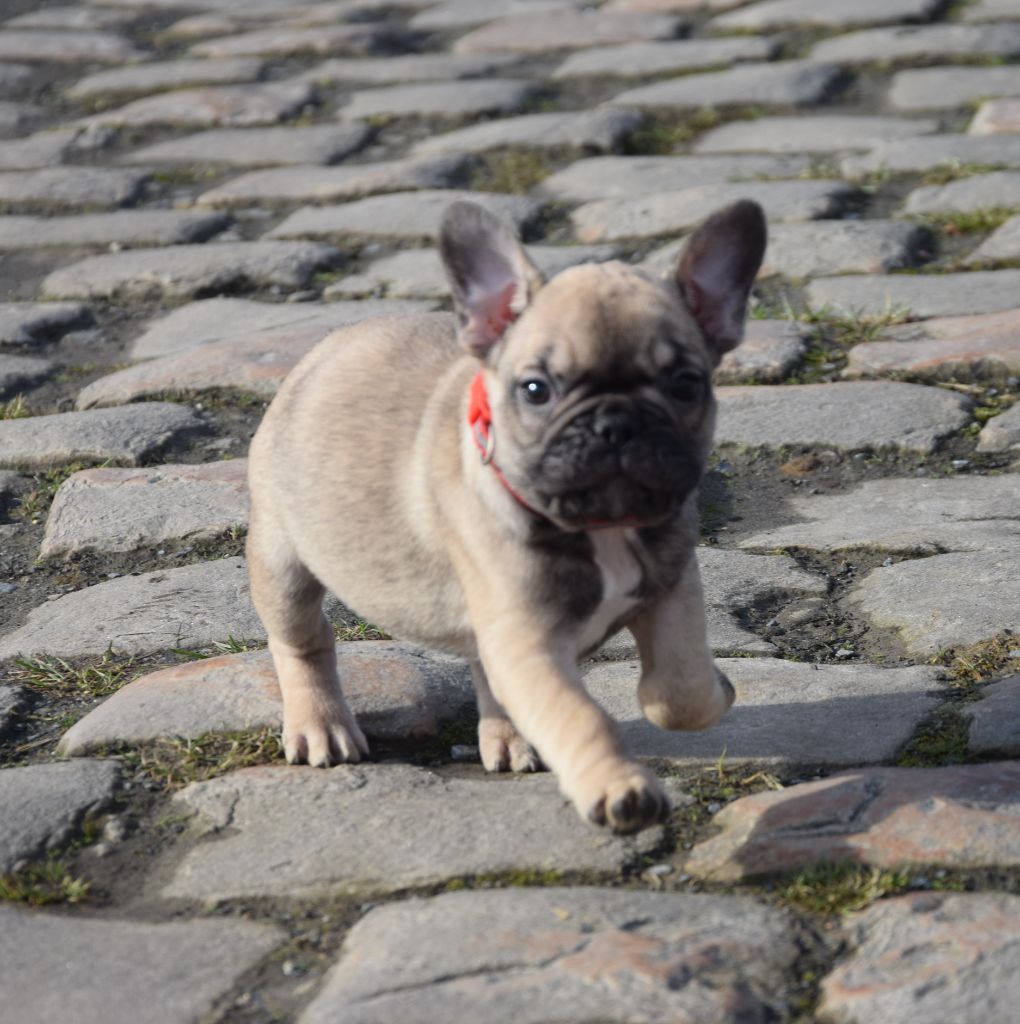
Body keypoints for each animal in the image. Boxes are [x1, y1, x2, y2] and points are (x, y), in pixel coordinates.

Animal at [246, 198, 767, 834]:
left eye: (687, 384)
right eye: (536, 389)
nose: (615, 422)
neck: (601, 528)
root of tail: (328, 346)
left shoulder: (672, 585)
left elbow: (681, 687)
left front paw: (717, 690)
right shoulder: (529, 643)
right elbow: (579, 716)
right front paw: (620, 788)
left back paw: (507, 738)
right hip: (282, 559)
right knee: (303, 641)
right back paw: (320, 725)